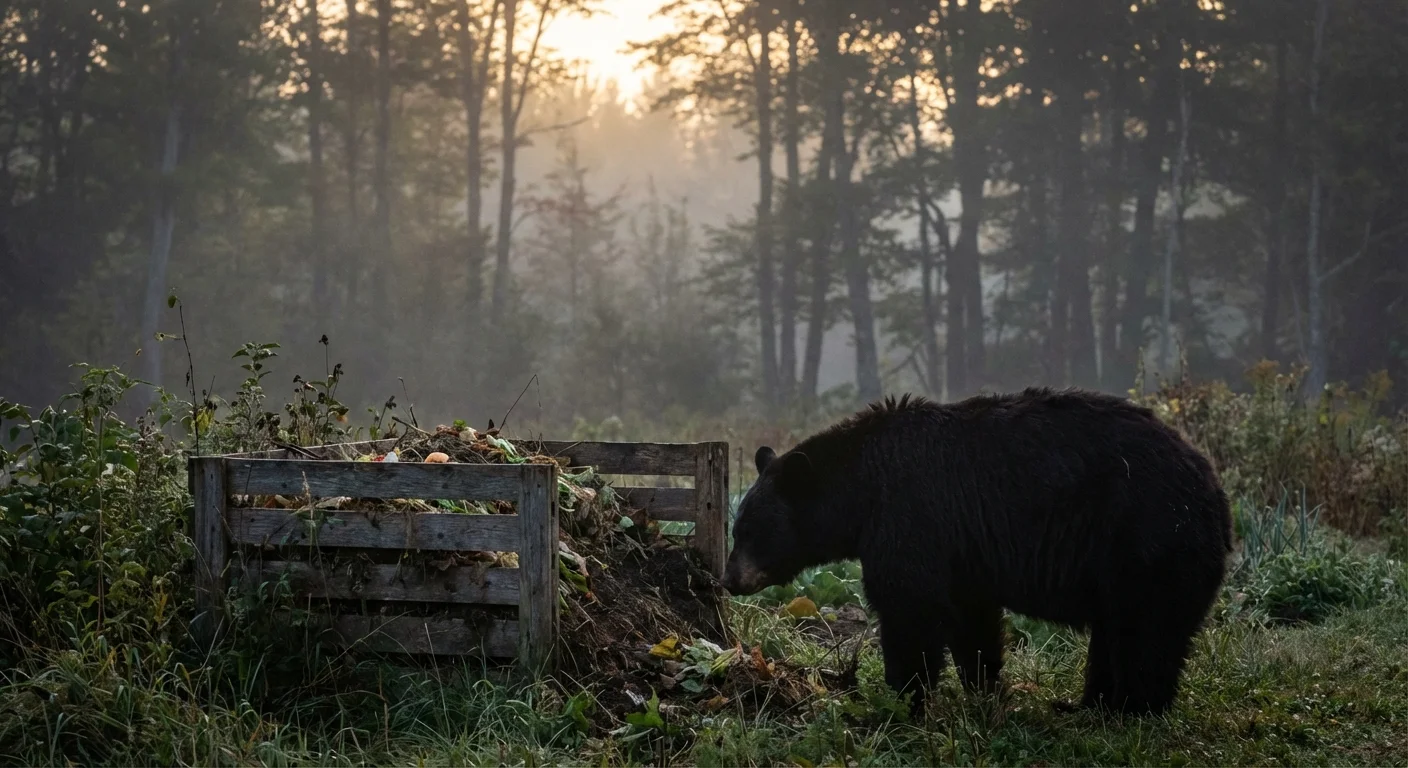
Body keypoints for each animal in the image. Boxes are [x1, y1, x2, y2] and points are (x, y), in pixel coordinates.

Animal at [721, 387, 1233, 717]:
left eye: (748, 530)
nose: (729, 580)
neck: (861, 487)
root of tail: (1213, 488)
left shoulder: (910, 514)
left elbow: (909, 608)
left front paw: (899, 699)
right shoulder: (963, 548)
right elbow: (972, 619)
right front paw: (984, 689)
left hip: (1147, 541)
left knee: (1146, 634)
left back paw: (1132, 710)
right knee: (1116, 633)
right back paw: (1086, 705)